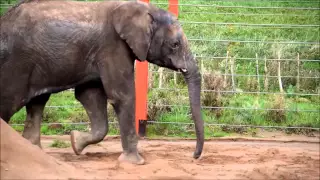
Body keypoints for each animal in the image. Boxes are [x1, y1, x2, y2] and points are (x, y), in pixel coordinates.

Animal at [0, 0, 204, 165]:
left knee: (37, 103)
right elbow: (122, 95)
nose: (194, 157)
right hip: (16, 64)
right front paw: (135, 162)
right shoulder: (112, 47)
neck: (144, 9)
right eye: (175, 45)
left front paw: (75, 142)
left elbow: (90, 97)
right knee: (9, 103)